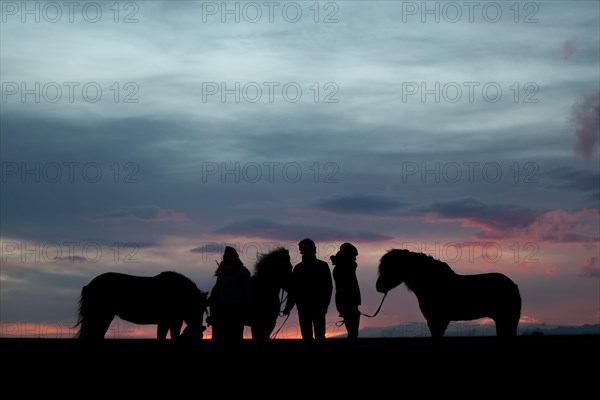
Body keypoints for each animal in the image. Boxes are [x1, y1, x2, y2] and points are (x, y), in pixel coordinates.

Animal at [75, 270, 209, 342]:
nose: (200, 334)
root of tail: (89, 285)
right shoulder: (166, 321)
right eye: (199, 309)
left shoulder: (172, 322)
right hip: (101, 315)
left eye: (203, 310)